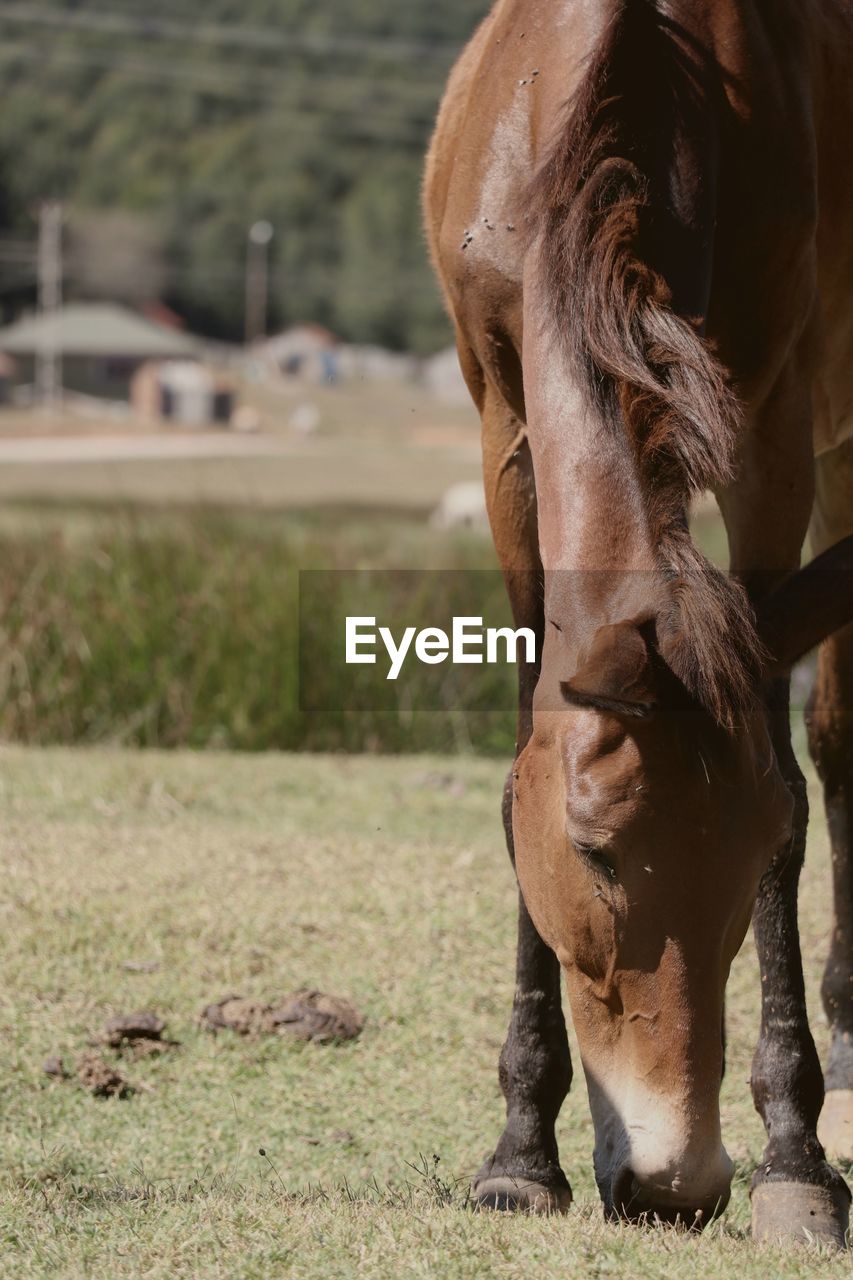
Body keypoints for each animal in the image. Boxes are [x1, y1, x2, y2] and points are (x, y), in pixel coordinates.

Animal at [425, 0, 853, 1244]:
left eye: (757, 850)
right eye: (597, 852)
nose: (677, 1185)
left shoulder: (772, 421)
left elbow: (790, 768)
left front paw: (797, 1161)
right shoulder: (501, 419)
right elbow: (524, 738)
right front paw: (521, 1149)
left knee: (838, 740)